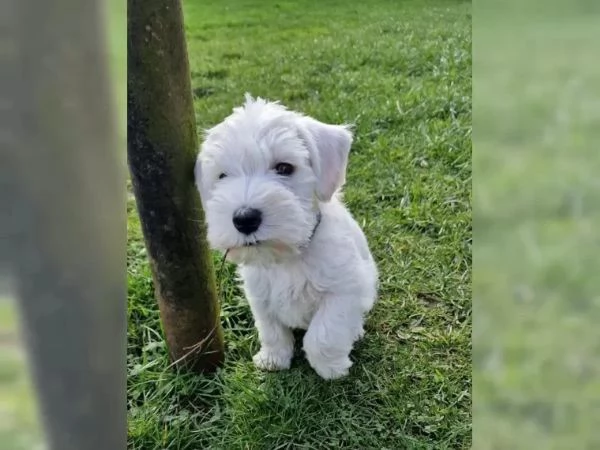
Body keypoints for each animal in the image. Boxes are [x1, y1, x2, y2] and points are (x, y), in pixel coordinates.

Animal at [195, 95, 378, 380]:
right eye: (222, 176)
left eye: (284, 168)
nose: (245, 219)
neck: (287, 255)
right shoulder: (259, 295)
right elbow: (271, 331)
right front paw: (273, 358)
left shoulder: (344, 289)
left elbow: (323, 334)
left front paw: (331, 368)